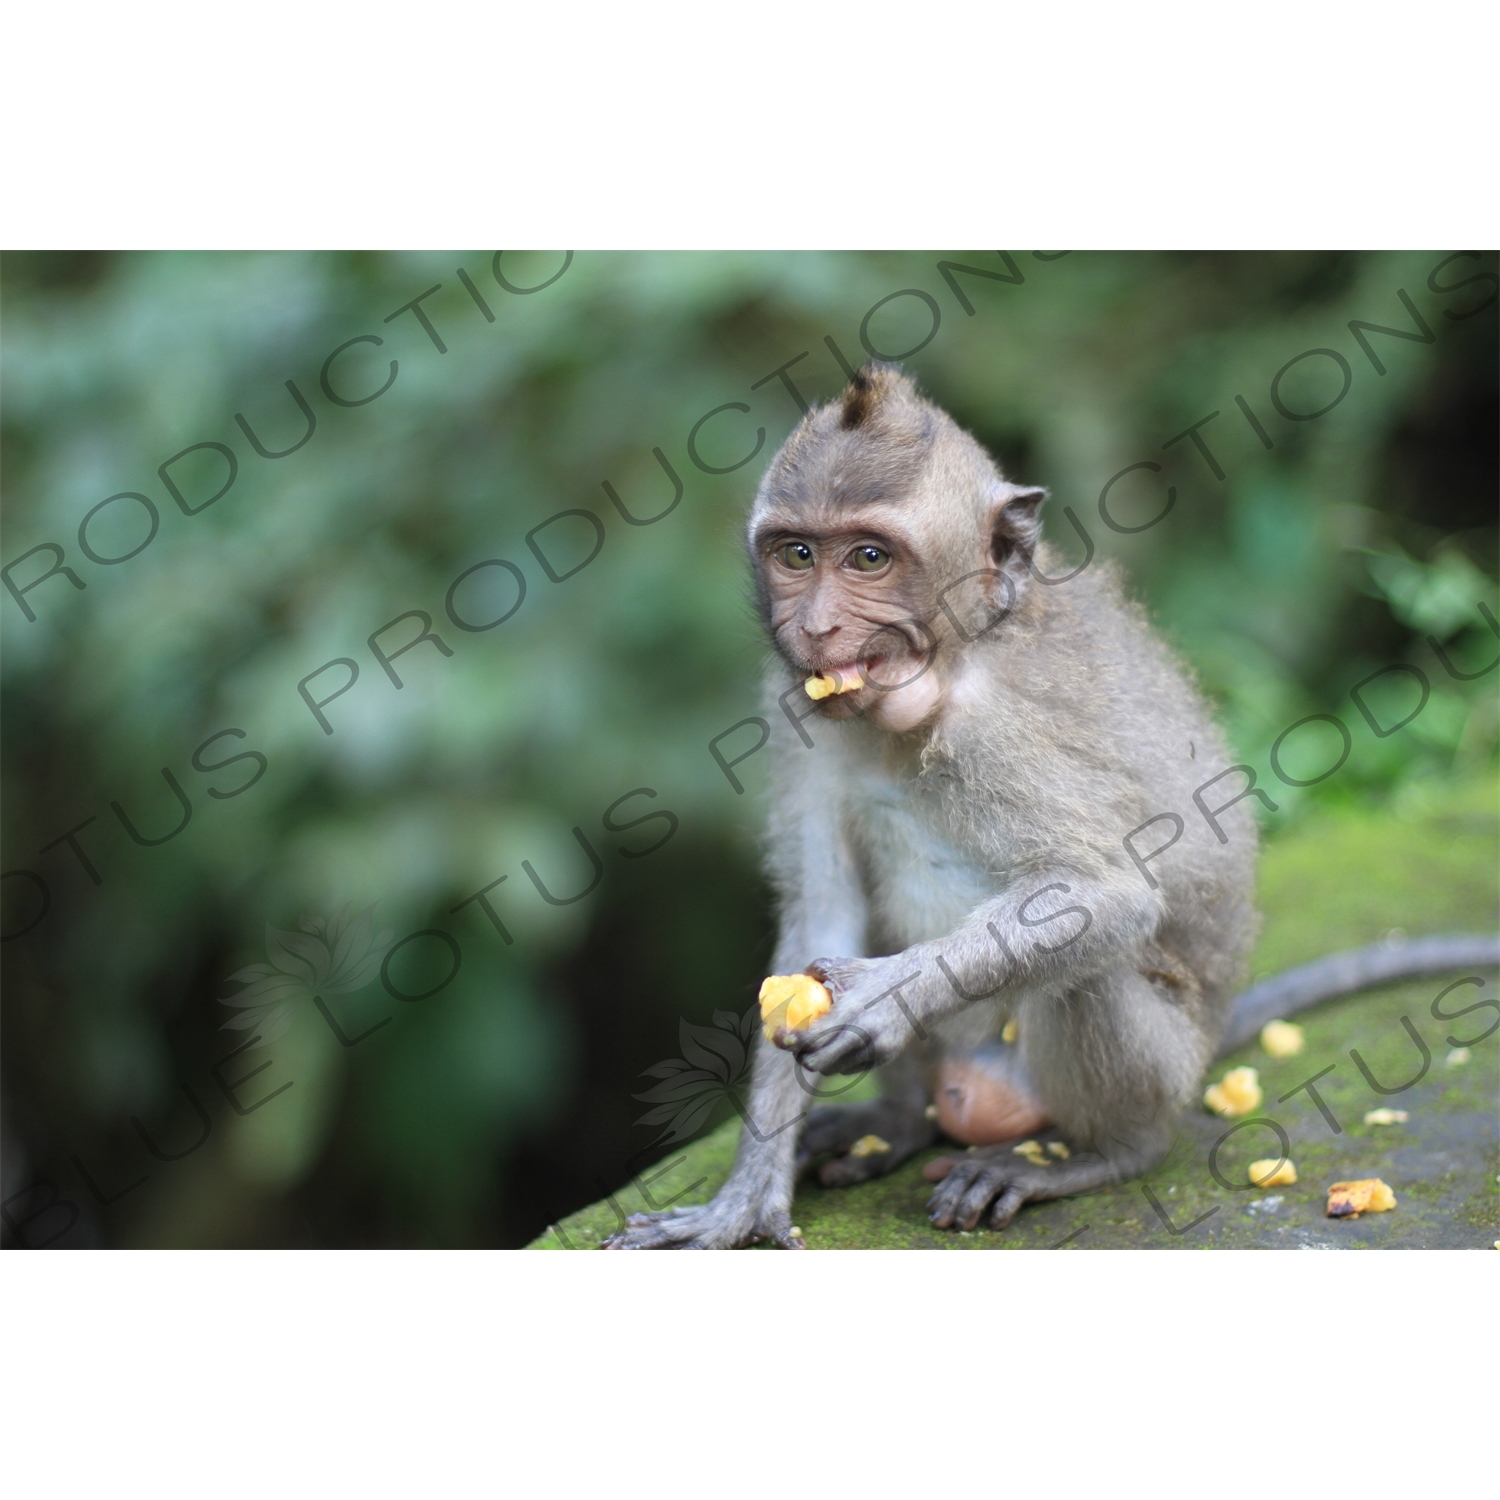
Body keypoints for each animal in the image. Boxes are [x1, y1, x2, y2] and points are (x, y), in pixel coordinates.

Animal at [603, 366, 1494, 1254]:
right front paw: (743, 1201)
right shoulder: (799, 714)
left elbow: (1106, 895)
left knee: (1090, 975)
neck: (945, 673)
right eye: (797, 554)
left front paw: (890, 996)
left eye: (868, 558)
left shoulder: (996, 735)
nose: (817, 627)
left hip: (1153, 1067)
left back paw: (1097, 1155)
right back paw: (899, 1122)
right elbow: (819, 925)